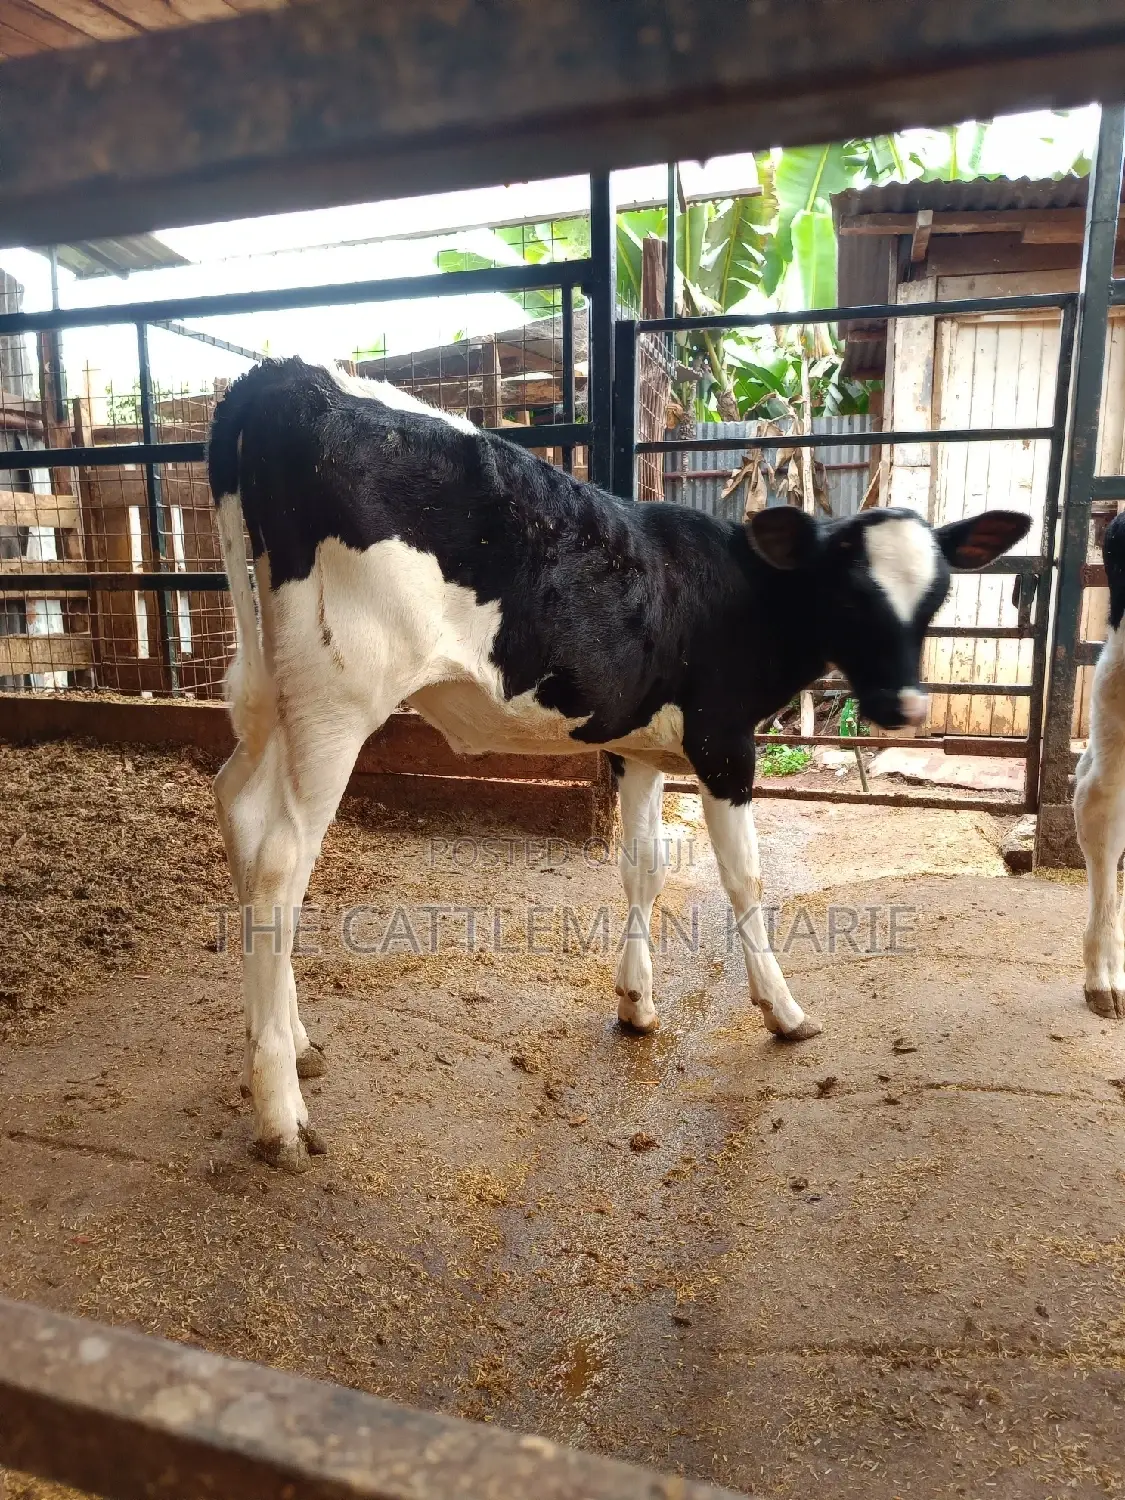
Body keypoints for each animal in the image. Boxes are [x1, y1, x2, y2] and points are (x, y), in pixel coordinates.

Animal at [208, 356, 1029, 1169]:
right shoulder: (725, 744)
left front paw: (637, 1003)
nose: (906, 708)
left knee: (238, 809)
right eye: (849, 594)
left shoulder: (637, 748)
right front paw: (783, 1011)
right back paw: (281, 1113)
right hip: (336, 699)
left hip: (276, 696)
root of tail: (283, 376)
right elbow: (745, 878)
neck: (740, 589)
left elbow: (644, 867)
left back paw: (290, 1044)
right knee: (281, 863)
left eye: (936, 594)